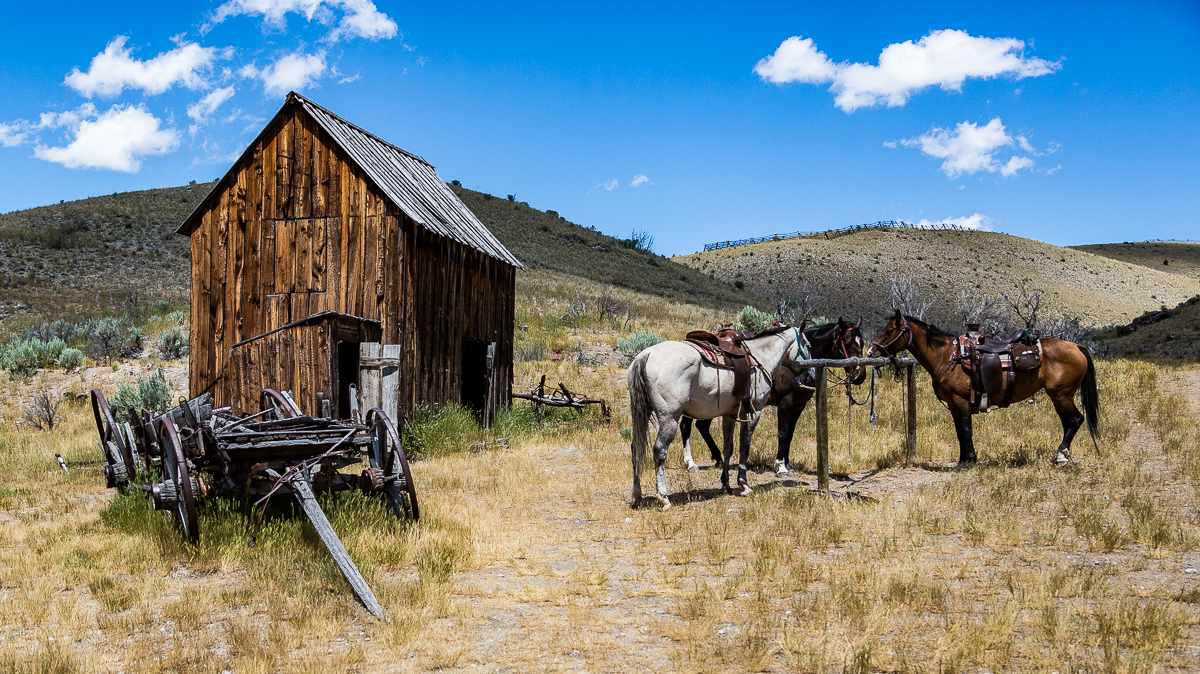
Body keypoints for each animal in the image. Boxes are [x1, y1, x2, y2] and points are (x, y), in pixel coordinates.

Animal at [628, 323, 806, 506]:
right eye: (807, 344)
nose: (809, 373)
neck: (761, 357)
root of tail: (645, 355)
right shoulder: (753, 412)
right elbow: (744, 447)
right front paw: (744, 484)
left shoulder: (729, 415)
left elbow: (728, 448)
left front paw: (725, 483)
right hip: (669, 418)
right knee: (660, 450)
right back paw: (663, 497)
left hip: (643, 413)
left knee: (636, 447)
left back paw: (637, 495)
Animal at [681, 316, 868, 474]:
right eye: (847, 342)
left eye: (863, 343)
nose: (860, 376)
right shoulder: (785, 402)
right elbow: (783, 433)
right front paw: (780, 466)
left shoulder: (799, 406)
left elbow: (790, 434)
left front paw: (788, 464)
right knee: (686, 426)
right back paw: (691, 463)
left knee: (702, 426)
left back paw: (718, 458)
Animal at [864, 307, 1099, 465]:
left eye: (888, 332)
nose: (870, 351)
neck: (947, 357)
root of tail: (1076, 346)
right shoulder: (954, 405)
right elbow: (960, 431)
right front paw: (963, 459)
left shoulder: (961, 401)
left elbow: (966, 430)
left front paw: (969, 460)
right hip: (1058, 396)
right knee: (1068, 422)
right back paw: (1062, 454)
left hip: (1061, 394)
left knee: (1075, 420)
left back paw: (1061, 455)